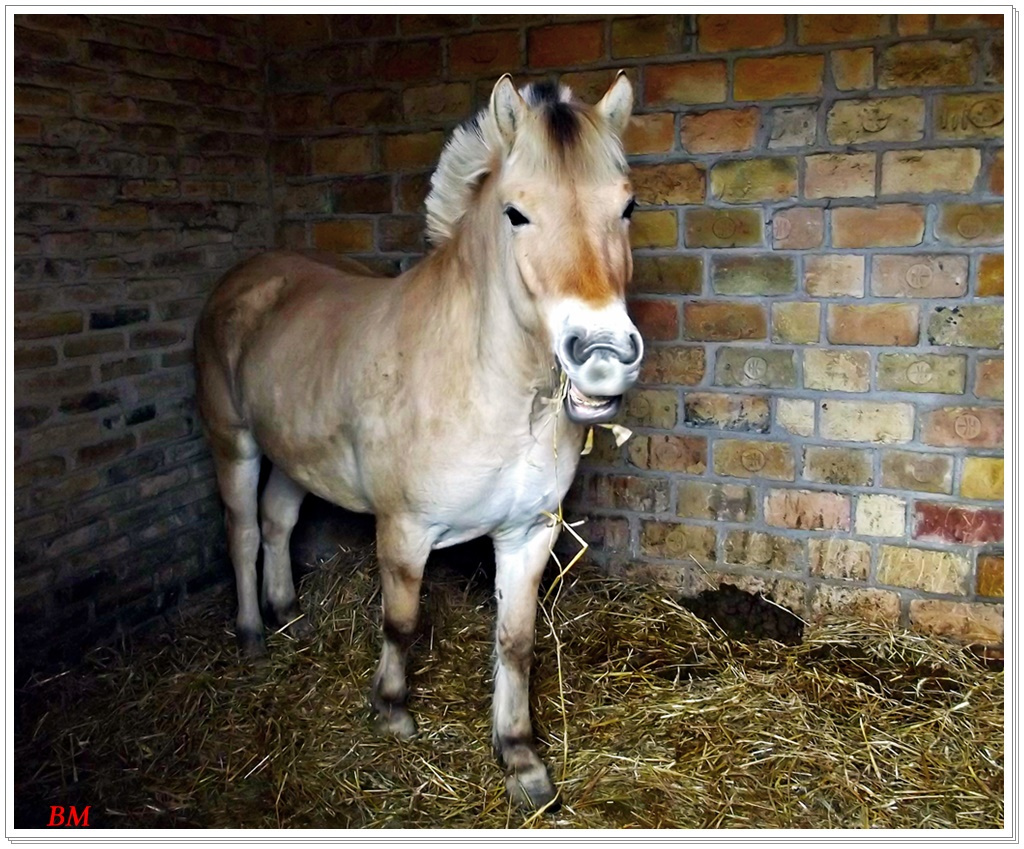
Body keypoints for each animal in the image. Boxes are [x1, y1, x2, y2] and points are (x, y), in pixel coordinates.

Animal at [195, 74, 643, 807]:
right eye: (516, 214)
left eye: (627, 206)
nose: (602, 357)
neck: (485, 384)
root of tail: (248, 275)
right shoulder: (404, 528)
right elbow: (401, 621)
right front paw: (392, 711)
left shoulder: (529, 533)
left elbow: (516, 641)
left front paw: (521, 758)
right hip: (233, 441)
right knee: (241, 528)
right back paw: (255, 635)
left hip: (295, 453)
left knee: (278, 521)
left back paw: (290, 613)